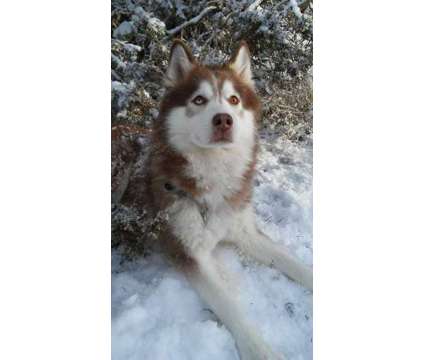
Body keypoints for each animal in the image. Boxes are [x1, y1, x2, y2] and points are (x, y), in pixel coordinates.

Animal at [126, 40, 312, 358]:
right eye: (199, 100)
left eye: (234, 100)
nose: (223, 119)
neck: (214, 173)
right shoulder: (189, 252)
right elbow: (230, 305)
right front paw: (259, 350)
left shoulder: (245, 230)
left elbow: (290, 261)